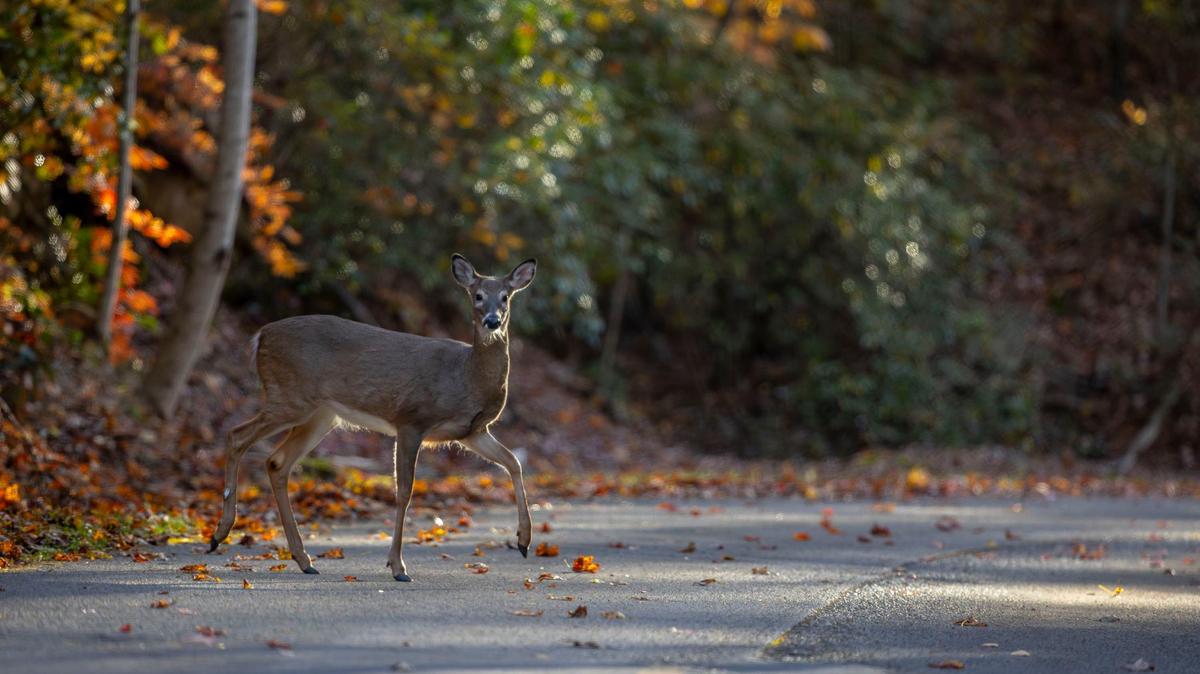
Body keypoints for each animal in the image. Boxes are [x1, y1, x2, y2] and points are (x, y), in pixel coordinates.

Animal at [208, 254, 537, 582]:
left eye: (505, 297)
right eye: (477, 295)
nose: (492, 321)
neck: (466, 376)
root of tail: (260, 336)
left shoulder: (472, 431)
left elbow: (514, 463)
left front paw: (524, 541)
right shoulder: (410, 420)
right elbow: (404, 491)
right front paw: (398, 566)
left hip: (320, 414)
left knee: (277, 462)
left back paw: (303, 559)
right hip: (289, 397)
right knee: (236, 435)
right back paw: (220, 534)